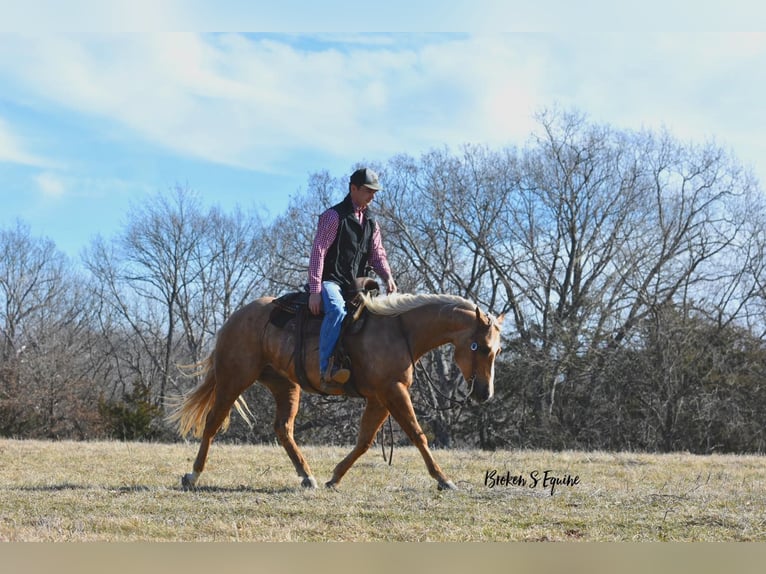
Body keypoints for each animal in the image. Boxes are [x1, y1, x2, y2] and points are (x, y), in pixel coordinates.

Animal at [170, 294, 504, 492]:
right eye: (481, 347)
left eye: (498, 350)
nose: (485, 394)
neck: (400, 331)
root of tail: (236, 317)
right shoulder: (393, 392)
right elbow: (417, 435)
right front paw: (444, 479)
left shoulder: (380, 397)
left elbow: (365, 440)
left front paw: (334, 477)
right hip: (234, 377)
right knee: (213, 422)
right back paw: (193, 475)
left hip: (285, 385)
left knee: (283, 429)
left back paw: (307, 476)